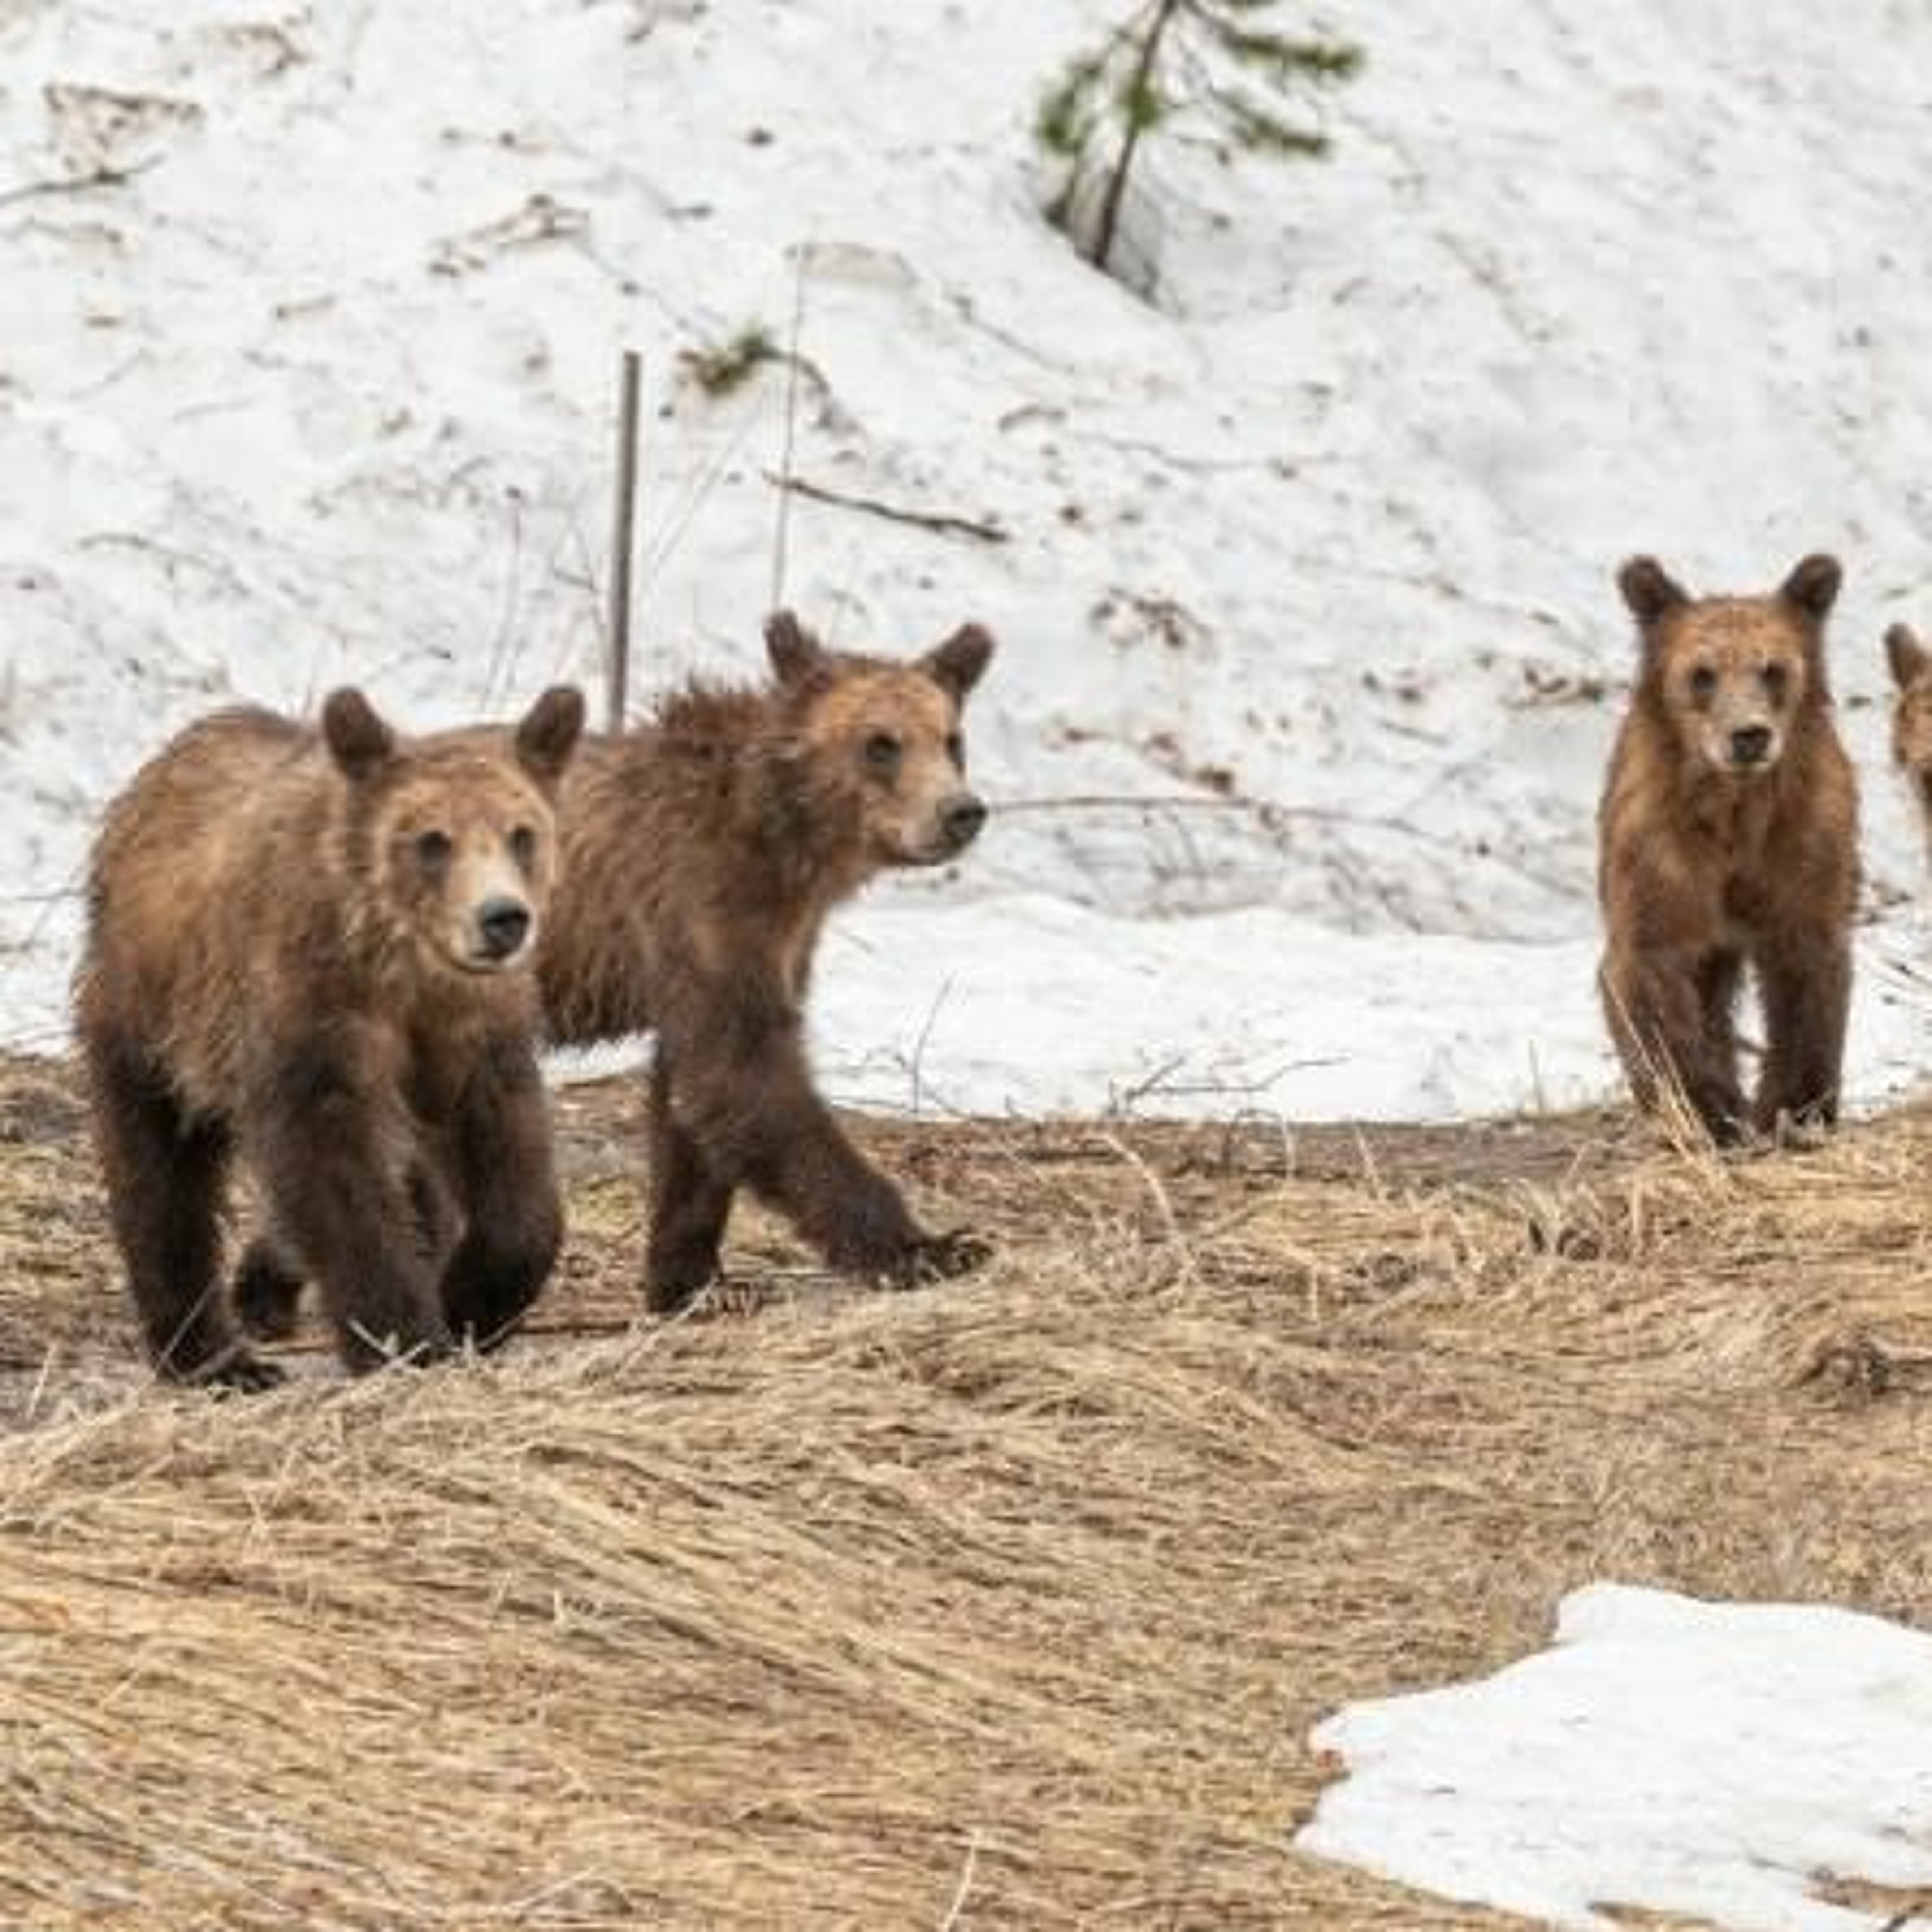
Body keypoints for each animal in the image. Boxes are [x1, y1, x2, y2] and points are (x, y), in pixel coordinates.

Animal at [75, 683, 585, 1389]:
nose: (502, 918)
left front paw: (469, 1299)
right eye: (432, 840)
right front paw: (407, 1337)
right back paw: (212, 1354)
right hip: (152, 1012)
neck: (401, 963)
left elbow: (511, 1166)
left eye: (521, 834)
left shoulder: (469, 1030)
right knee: (160, 1176)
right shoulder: (313, 1017)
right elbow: (335, 1174)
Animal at [537, 609, 996, 1311]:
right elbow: (746, 1076)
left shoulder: (776, 940)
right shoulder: (699, 908)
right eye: (881, 743)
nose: (961, 812)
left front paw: (689, 1280)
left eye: (953, 739)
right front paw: (932, 1248)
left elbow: (690, 1103)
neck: (788, 836)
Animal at [1597, 553, 1859, 1145]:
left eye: (1773, 669)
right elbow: (1655, 972)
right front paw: (1709, 1112)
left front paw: (1796, 1110)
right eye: (1702, 673)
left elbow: (1806, 971)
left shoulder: (1800, 853)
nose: (1749, 735)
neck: (1736, 815)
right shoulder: (1663, 862)